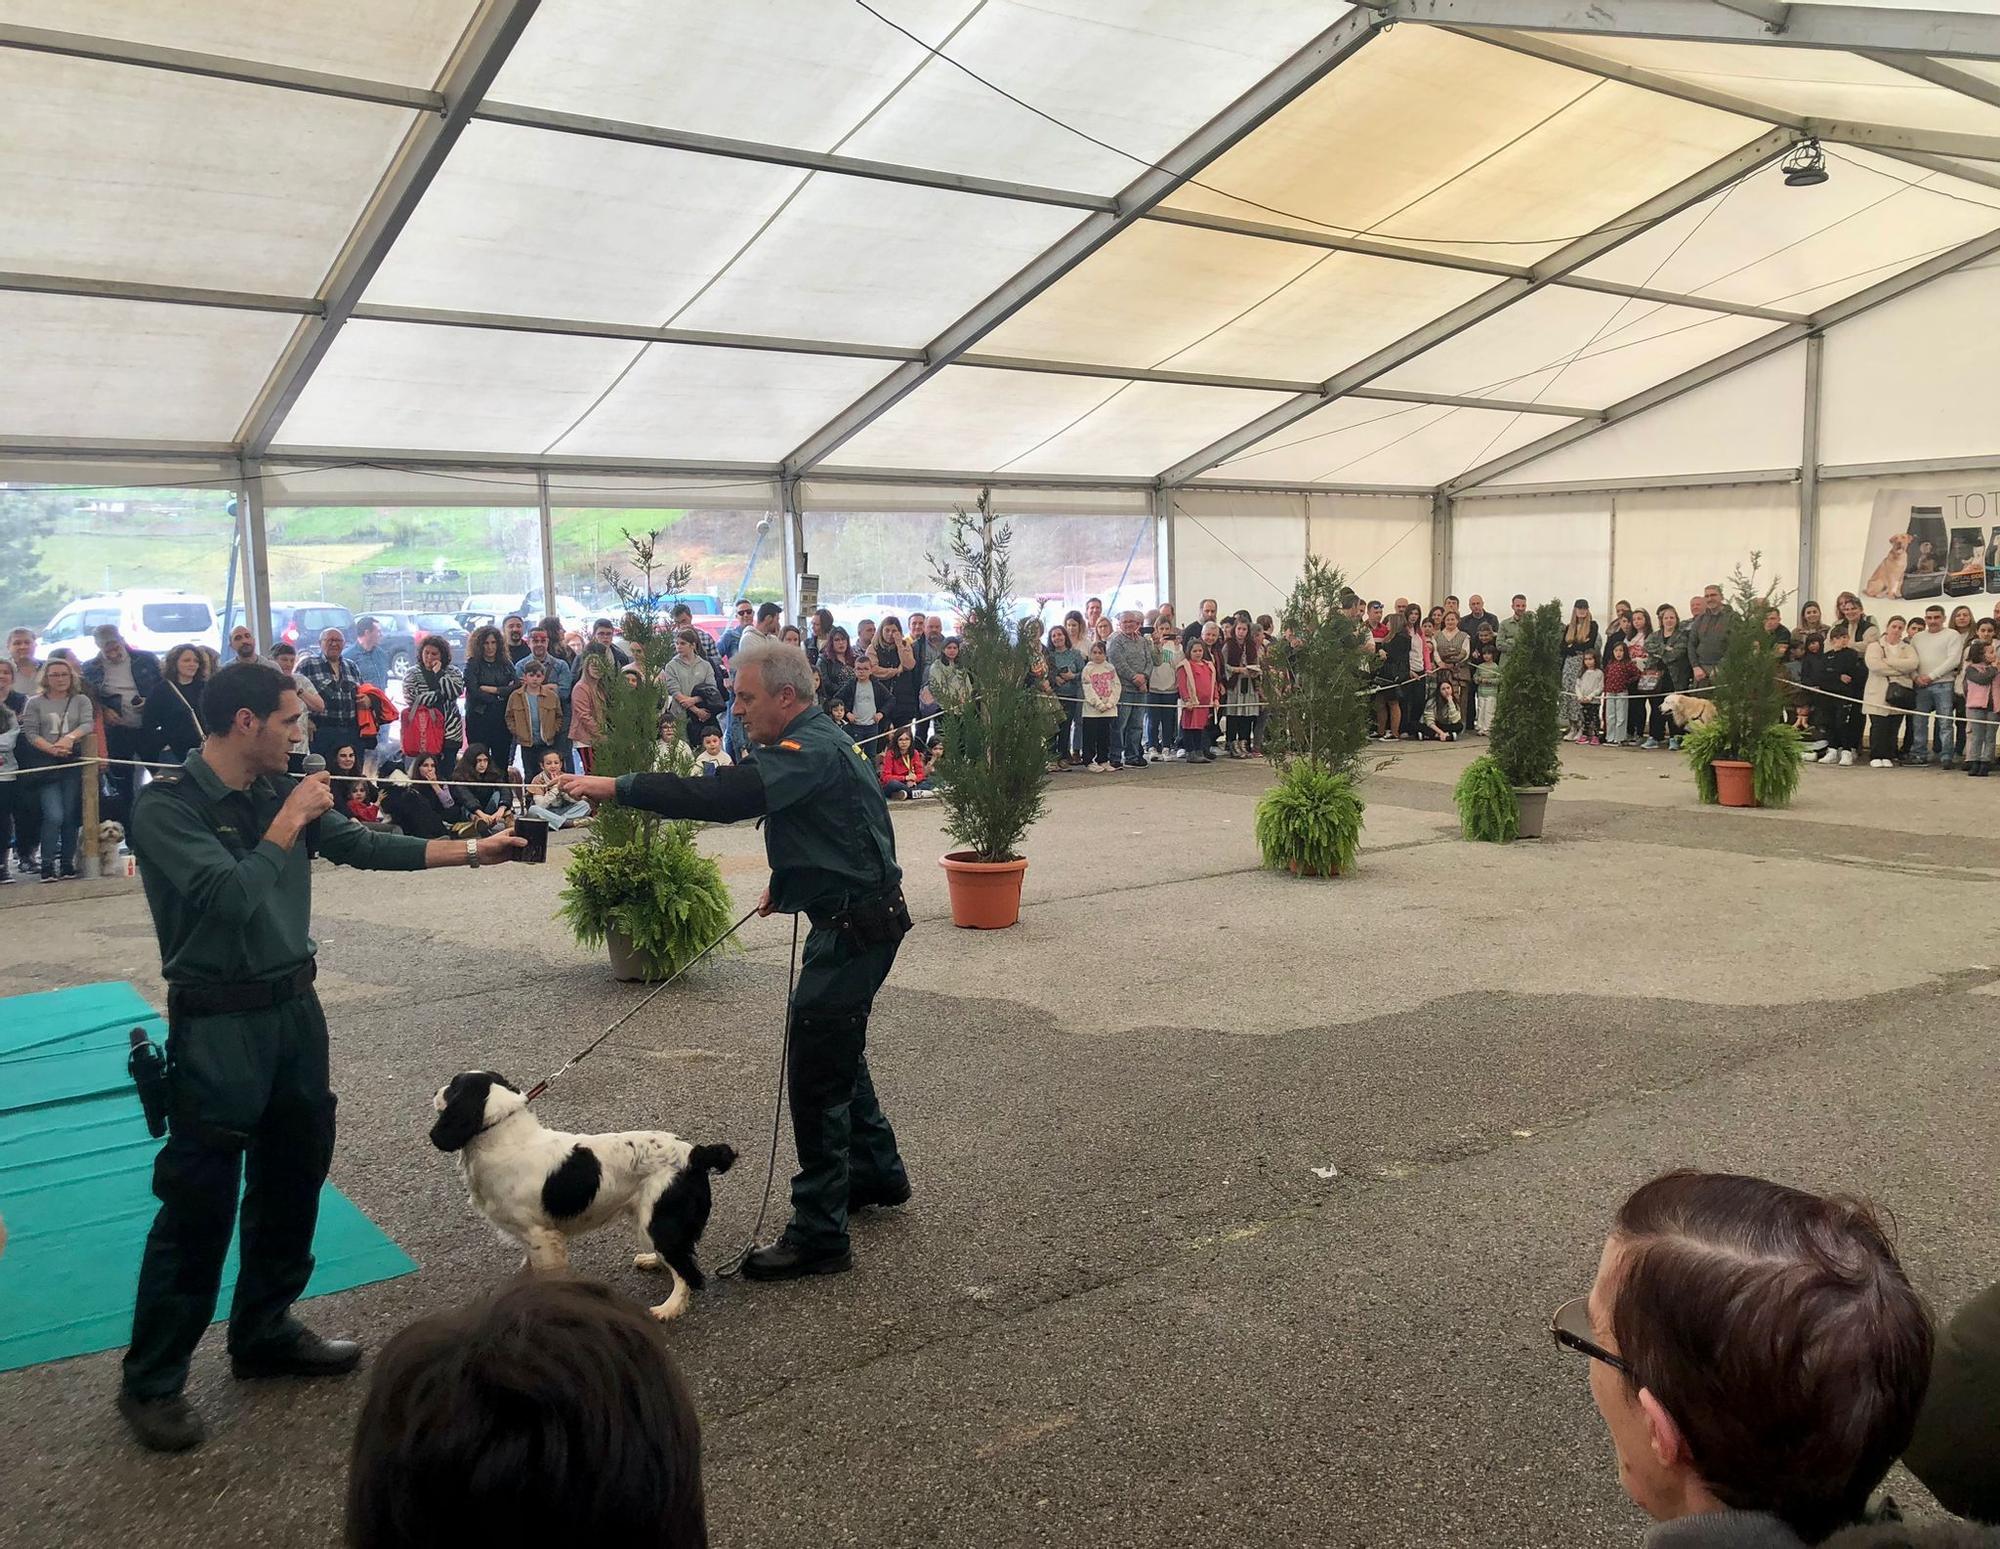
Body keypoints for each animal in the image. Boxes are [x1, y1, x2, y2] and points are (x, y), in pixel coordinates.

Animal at [428, 1080, 736, 1320]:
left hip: (659, 1220)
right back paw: (652, 1260)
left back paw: (668, 1308)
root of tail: (695, 1154)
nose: (435, 1090)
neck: (502, 1137)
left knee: (687, 1272)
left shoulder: (540, 1235)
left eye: (452, 1087)